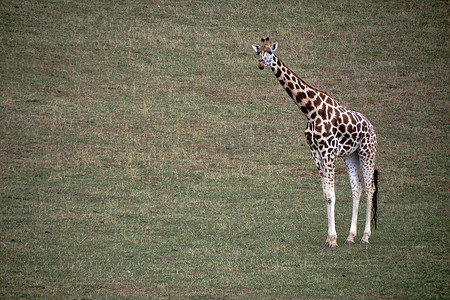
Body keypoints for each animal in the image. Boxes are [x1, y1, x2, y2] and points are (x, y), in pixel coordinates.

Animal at [251, 38, 378, 248]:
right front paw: (330, 238)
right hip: (351, 155)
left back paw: (365, 237)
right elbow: (326, 194)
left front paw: (332, 240)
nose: (261, 64)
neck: (310, 110)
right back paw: (350, 236)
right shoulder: (315, 152)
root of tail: (370, 125)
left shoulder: (328, 150)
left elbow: (331, 194)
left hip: (367, 151)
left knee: (369, 188)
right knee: (357, 188)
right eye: (257, 52)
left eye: (270, 52)